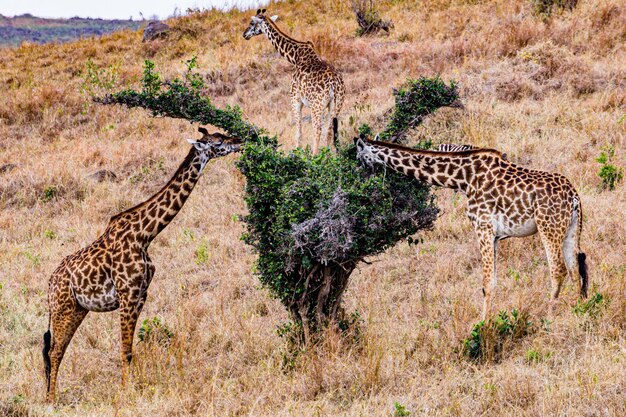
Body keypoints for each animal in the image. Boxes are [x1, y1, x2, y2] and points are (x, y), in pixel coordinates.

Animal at [42, 128, 241, 402]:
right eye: (218, 141)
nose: (239, 141)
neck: (146, 234)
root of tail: (50, 284)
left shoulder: (141, 295)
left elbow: (131, 348)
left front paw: (133, 386)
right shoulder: (127, 294)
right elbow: (125, 349)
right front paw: (126, 392)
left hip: (78, 309)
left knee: (55, 350)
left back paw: (49, 396)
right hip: (63, 308)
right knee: (54, 351)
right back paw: (51, 399)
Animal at [241, 8, 344, 153]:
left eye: (251, 23)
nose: (244, 34)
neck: (295, 57)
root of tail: (334, 83)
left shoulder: (295, 99)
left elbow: (298, 131)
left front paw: (297, 153)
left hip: (317, 106)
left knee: (317, 129)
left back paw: (315, 156)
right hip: (336, 105)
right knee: (329, 130)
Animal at [354, 138, 588, 316]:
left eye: (359, 157)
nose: (362, 178)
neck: (463, 178)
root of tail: (574, 197)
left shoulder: (482, 227)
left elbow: (487, 283)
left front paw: (483, 325)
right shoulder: (494, 236)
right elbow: (491, 281)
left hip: (548, 227)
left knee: (558, 269)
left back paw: (549, 312)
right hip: (570, 229)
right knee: (574, 267)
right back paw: (578, 308)